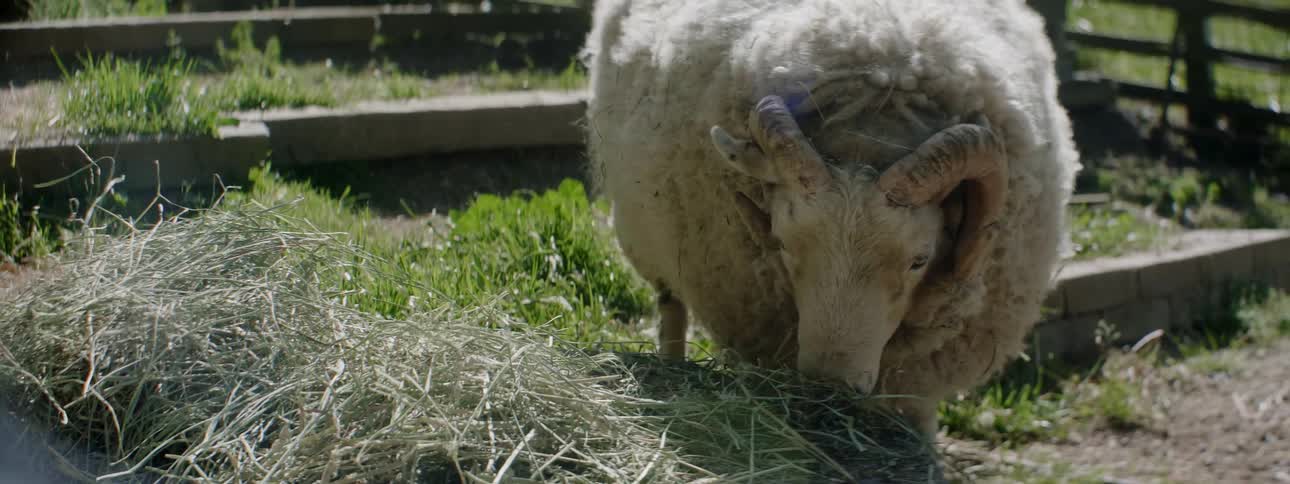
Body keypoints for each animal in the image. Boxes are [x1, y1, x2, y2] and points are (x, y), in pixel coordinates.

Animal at [580, 0, 1082, 434]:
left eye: (919, 261)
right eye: (782, 245)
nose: (830, 389)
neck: (872, 121)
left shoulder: (918, 379)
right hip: (649, 241)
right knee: (671, 307)